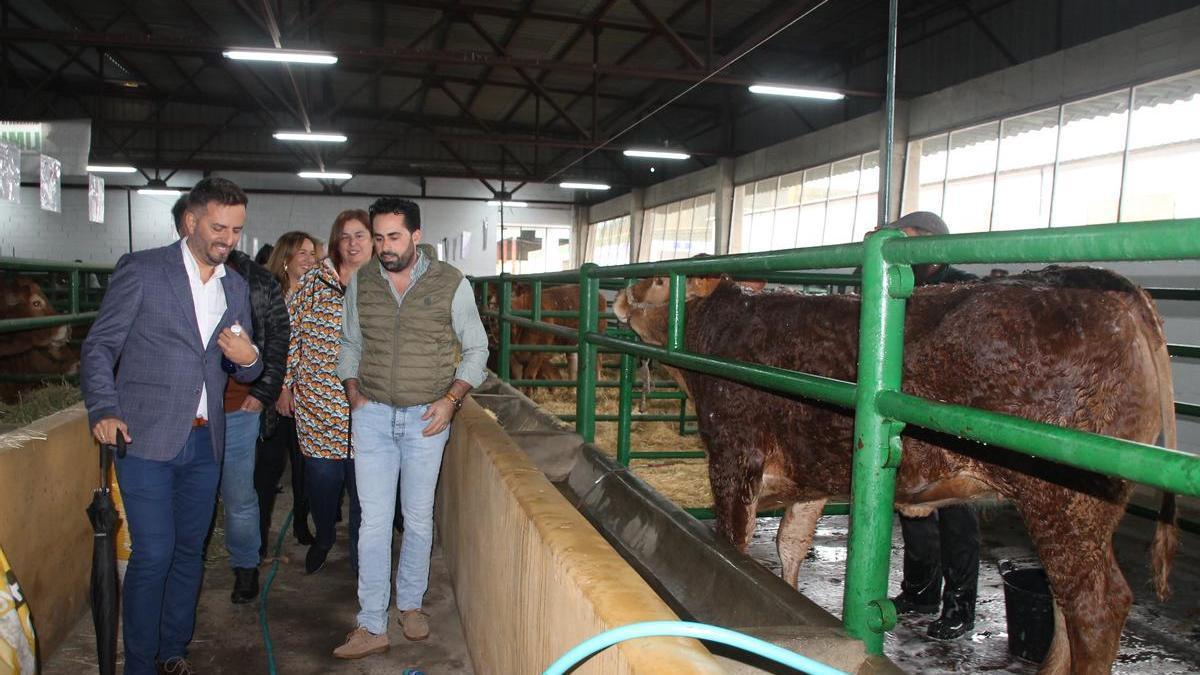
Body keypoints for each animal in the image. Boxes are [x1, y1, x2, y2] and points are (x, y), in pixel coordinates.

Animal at [614, 265, 1176, 667]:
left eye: (661, 279)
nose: (614, 298)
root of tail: (1099, 281)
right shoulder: (809, 478)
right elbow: (789, 547)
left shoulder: (734, 457)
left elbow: (734, 544)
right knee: (1065, 600)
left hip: (1066, 499)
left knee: (1096, 606)